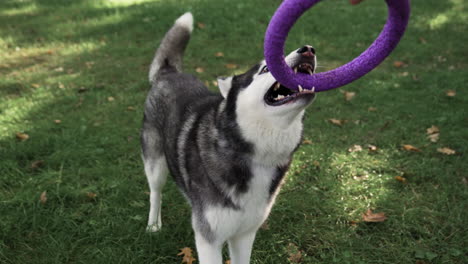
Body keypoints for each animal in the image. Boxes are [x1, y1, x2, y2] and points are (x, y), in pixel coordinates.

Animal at [143, 11, 316, 262]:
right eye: (265, 69)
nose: (308, 49)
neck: (254, 155)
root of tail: (169, 72)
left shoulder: (244, 234)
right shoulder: (209, 240)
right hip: (155, 163)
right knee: (155, 192)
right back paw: (153, 225)